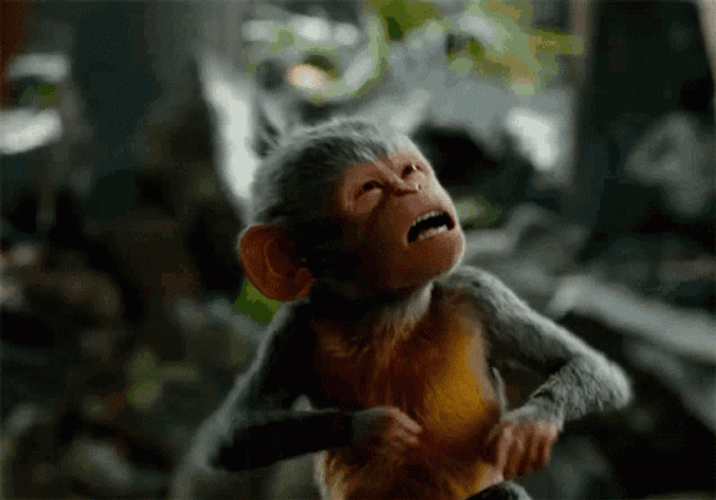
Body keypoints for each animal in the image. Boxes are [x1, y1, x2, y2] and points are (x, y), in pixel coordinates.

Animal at [171, 117, 632, 500]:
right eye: (369, 190)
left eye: (410, 171)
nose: (412, 189)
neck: (391, 310)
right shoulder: (293, 327)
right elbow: (231, 436)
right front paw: (371, 427)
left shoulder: (479, 292)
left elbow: (587, 365)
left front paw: (531, 425)